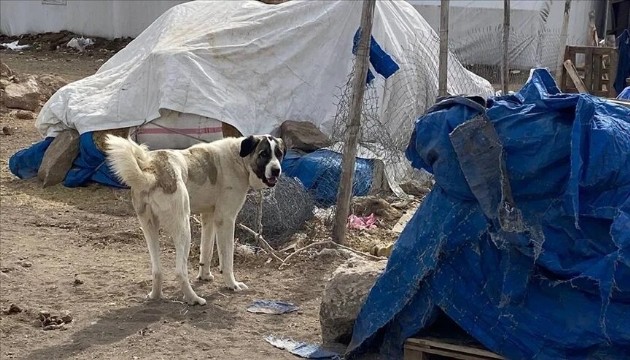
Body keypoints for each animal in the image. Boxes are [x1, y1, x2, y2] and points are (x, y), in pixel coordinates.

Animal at [106, 134, 286, 306]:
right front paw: (232, 285)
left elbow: (206, 250)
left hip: (149, 228)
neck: (238, 157)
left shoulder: (209, 218)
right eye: (263, 154)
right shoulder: (226, 220)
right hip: (184, 229)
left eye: (279, 154)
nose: (276, 170)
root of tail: (152, 170)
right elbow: (227, 259)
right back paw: (193, 299)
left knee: (157, 270)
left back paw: (155, 295)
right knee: (180, 271)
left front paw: (204, 276)